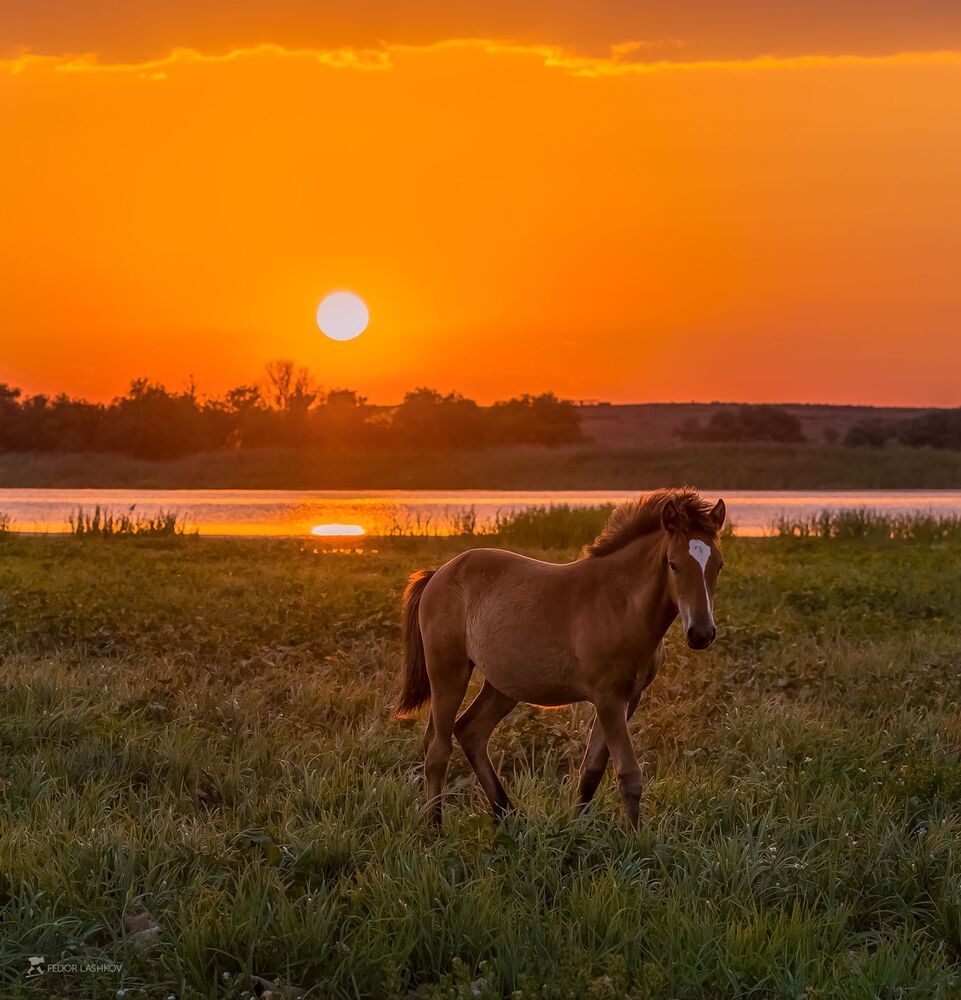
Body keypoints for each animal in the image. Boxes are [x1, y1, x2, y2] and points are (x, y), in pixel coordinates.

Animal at [396, 488, 726, 829]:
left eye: (718, 565)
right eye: (673, 564)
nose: (701, 633)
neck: (621, 605)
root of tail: (438, 574)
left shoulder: (628, 698)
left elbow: (592, 770)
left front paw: (575, 829)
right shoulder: (609, 698)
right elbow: (628, 774)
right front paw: (638, 838)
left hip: (504, 685)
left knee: (471, 732)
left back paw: (507, 815)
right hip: (448, 671)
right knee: (438, 747)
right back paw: (436, 827)